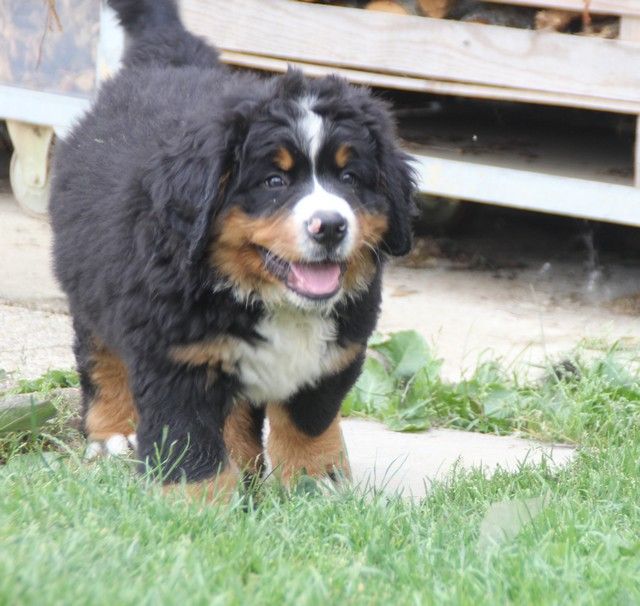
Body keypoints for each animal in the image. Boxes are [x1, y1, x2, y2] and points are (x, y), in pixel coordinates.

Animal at [50, 0, 416, 498]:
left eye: (349, 178)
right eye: (274, 181)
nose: (331, 227)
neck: (267, 298)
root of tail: (170, 60)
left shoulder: (335, 352)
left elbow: (308, 419)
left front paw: (314, 482)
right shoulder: (176, 358)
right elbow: (190, 443)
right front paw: (198, 506)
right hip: (92, 288)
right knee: (100, 359)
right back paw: (113, 434)